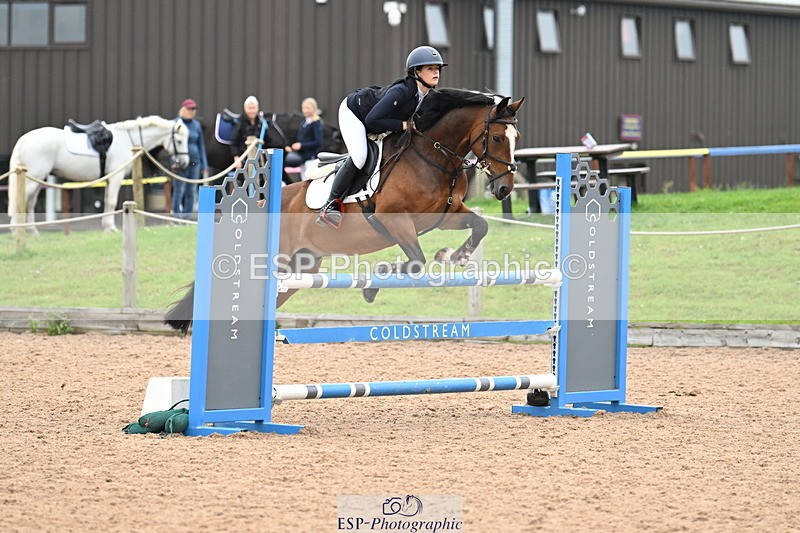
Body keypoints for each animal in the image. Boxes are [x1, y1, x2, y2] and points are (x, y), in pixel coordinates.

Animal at [7, 115, 190, 233]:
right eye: (179, 141)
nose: (184, 163)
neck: (127, 139)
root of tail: (24, 140)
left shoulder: (109, 178)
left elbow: (107, 201)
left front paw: (107, 227)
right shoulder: (116, 177)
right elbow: (111, 201)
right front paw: (111, 228)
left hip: (37, 180)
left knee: (29, 203)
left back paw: (32, 231)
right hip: (33, 180)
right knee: (19, 201)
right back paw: (16, 231)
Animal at [165, 89, 523, 334]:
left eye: (516, 136)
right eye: (495, 137)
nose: (505, 189)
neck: (433, 156)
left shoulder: (445, 215)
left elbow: (479, 226)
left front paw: (454, 256)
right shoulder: (394, 220)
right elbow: (416, 262)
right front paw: (374, 283)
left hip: (299, 270)